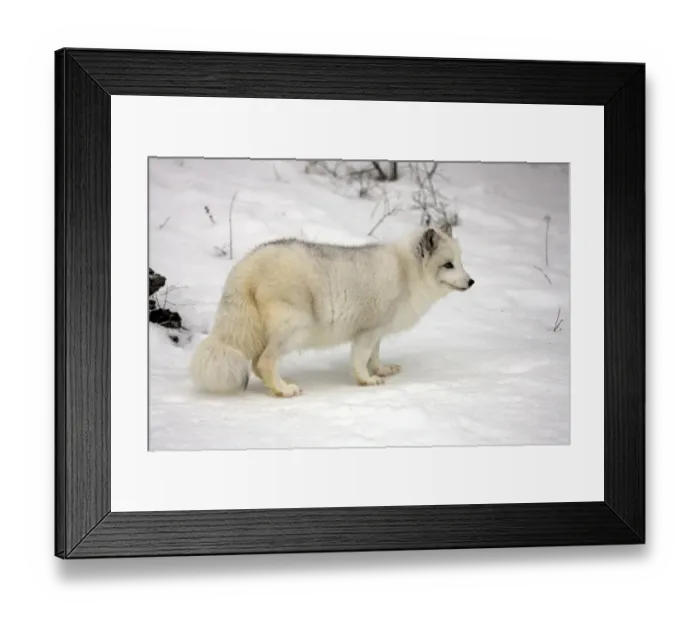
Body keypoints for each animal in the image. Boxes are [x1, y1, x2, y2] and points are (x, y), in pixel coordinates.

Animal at [189, 221, 475, 398]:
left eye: (460, 262)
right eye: (448, 265)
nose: (471, 281)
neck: (405, 272)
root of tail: (244, 266)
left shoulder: (378, 331)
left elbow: (375, 356)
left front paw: (381, 370)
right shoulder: (367, 331)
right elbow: (360, 360)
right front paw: (367, 381)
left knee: (257, 364)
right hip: (296, 327)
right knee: (264, 362)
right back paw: (285, 390)